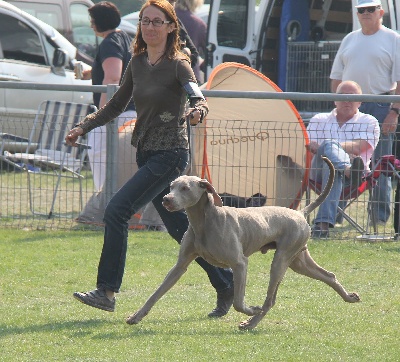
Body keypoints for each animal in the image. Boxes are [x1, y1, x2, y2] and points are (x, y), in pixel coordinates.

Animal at [126, 157, 360, 330]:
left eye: (185, 188)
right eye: (172, 186)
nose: (166, 199)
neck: (204, 221)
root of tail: (300, 212)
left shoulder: (240, 264)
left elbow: (239, 302)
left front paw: (251, 309)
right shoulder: (180, 265)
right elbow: (156, 293)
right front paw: (136, 316)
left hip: (282, 259)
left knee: (270, 299)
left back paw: (252, 322)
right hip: (298, 260)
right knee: (328, 275)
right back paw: (349, 297)